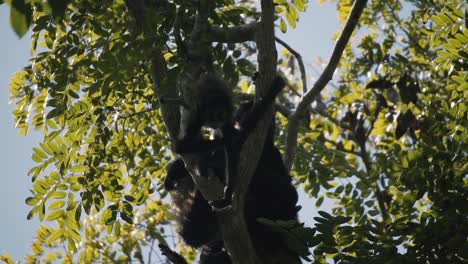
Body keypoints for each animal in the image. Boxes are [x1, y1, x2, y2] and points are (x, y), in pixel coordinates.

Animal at [175, 72, 288, 208]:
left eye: (220, 115)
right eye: (211, 115)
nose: (215, 122)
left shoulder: (228, 116)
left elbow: (231, 150)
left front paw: (228, 195)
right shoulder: (198, 115)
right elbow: (180, 146)